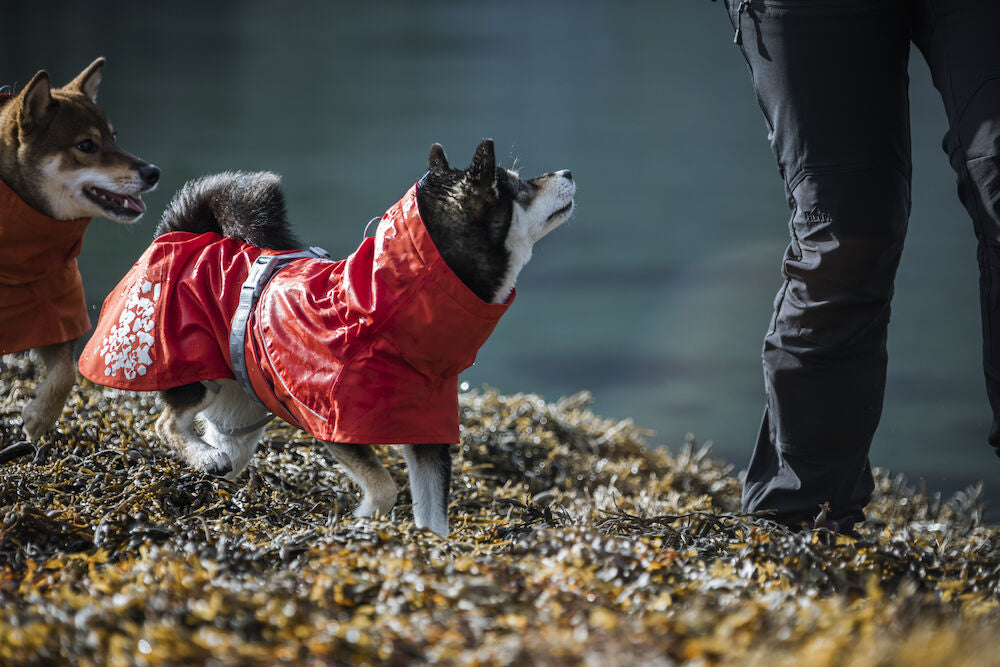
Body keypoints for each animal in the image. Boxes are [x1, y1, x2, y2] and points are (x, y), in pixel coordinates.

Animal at [0, 57, 158, 440]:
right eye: (86, 145)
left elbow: (67, 374)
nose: (153, 172)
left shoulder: (54, 312)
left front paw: (40, 416)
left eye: (114, 137)